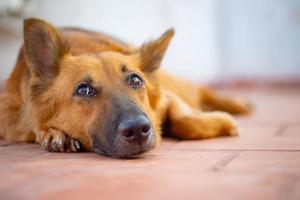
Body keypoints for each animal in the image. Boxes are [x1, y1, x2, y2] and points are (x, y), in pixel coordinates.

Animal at [0, 17, 251, 158]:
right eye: (83, 90)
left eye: (136, 80)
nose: (138, 130)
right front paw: (54, 134)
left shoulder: (167, 97)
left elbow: (185, 121)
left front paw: (222, 122)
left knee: (202, 91)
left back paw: (238, 104)